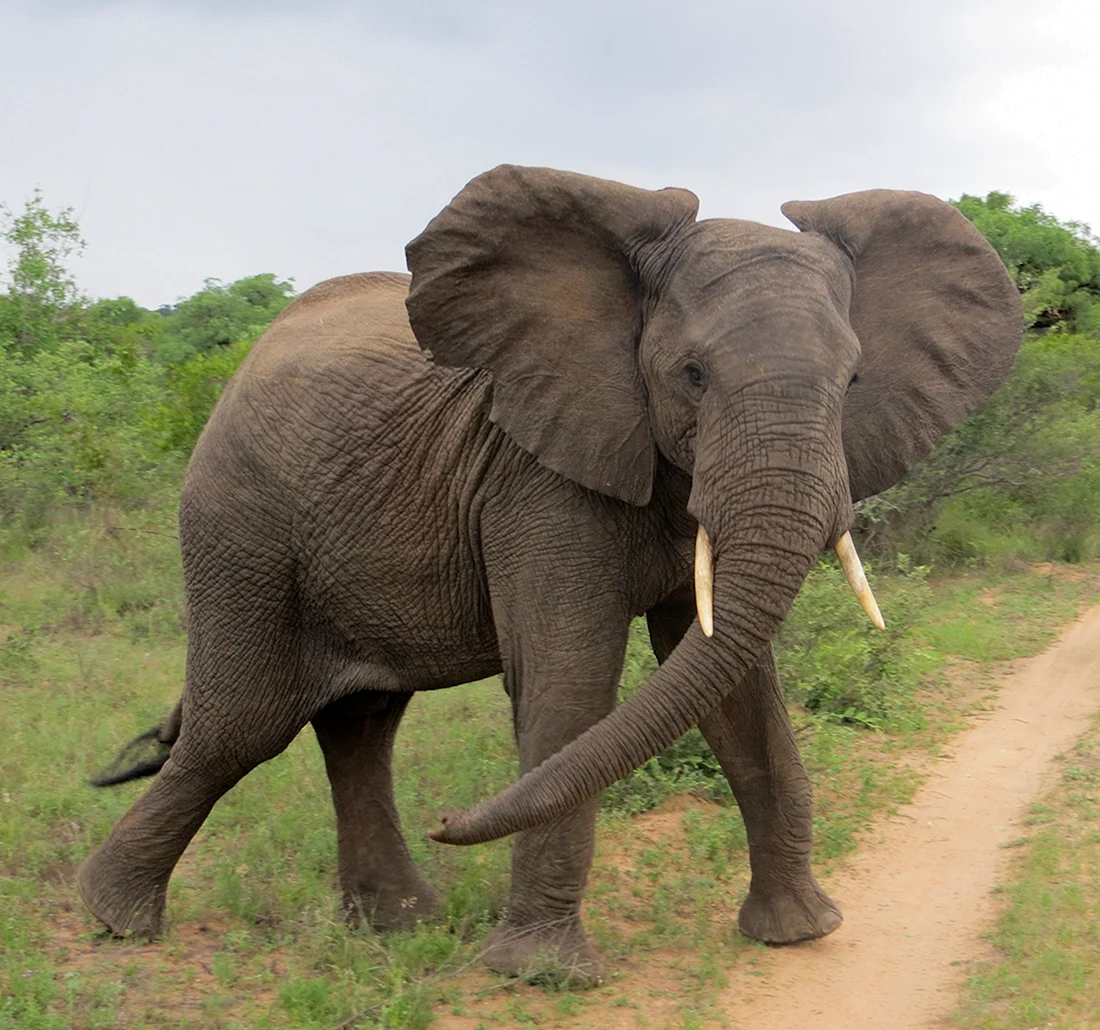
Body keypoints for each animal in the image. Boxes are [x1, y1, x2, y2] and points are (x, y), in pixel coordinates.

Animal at [79, 165, 1022, 984]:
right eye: (691, 374)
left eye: (854, 379)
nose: (451, 822)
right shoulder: (536, 478)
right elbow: (569, 682)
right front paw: (544, 976)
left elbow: (735, 690)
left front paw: (797, 935)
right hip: (239, 529)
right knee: (240, 727)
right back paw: (114, 921)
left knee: (360, 725)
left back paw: (399, 926)